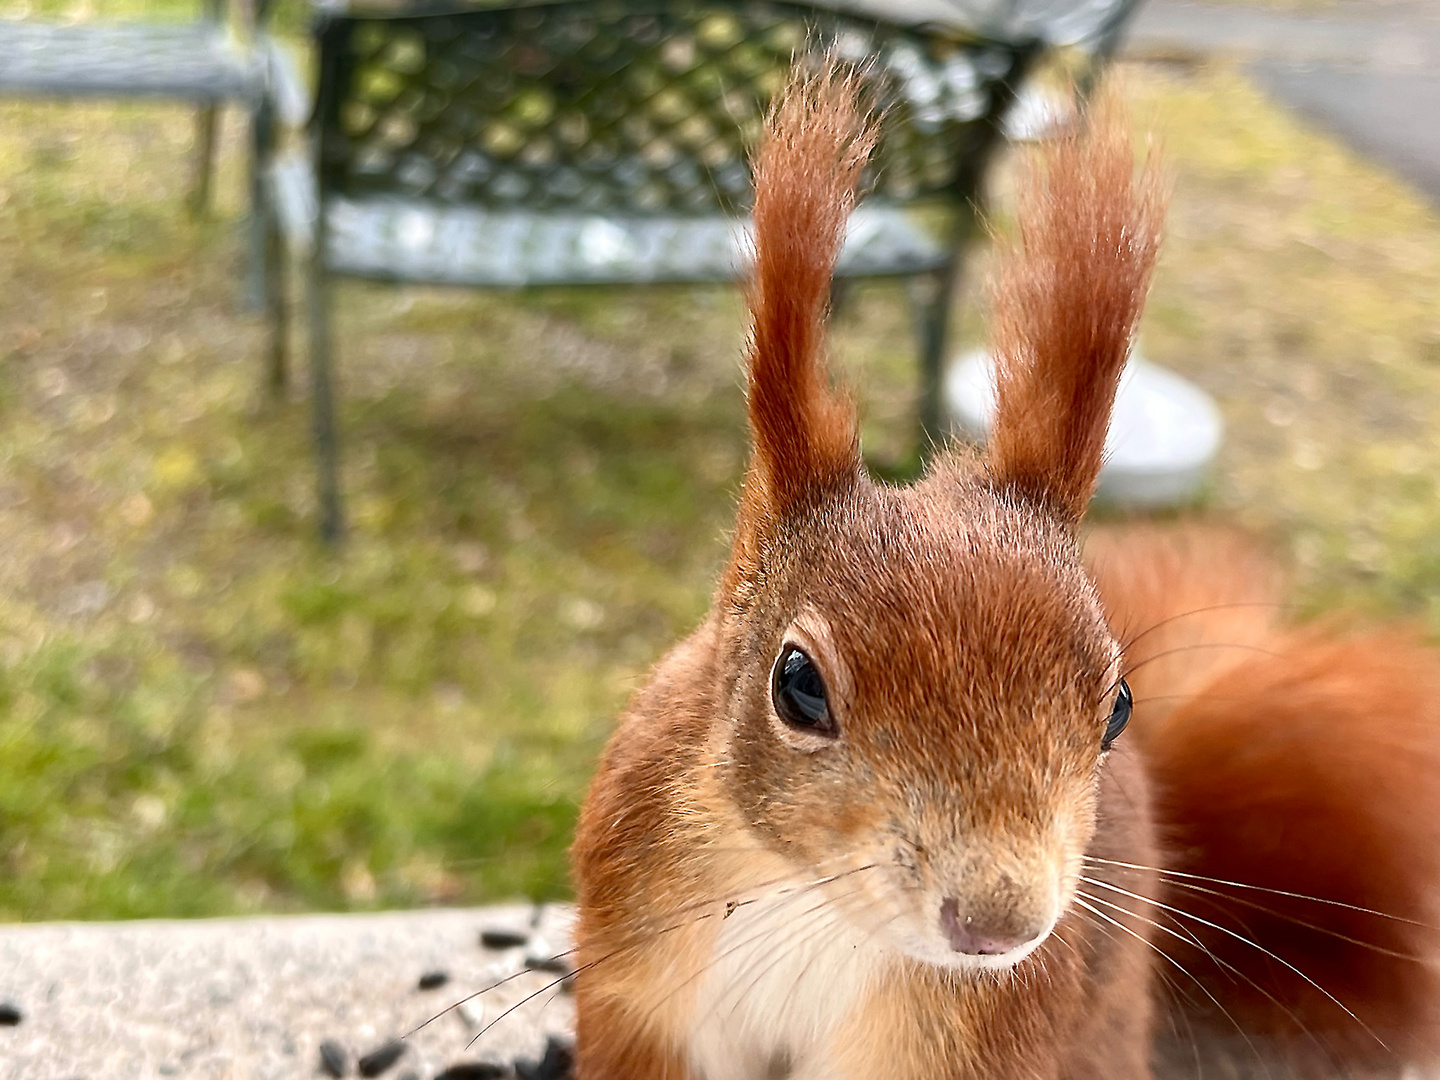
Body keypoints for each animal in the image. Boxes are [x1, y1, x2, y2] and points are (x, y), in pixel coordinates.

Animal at [567, 57, 1440, 1080]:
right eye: (798, 686)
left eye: (1119, 708)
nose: (999, 924)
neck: (805, 897)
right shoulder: (639, 993)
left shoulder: (965, 1042)